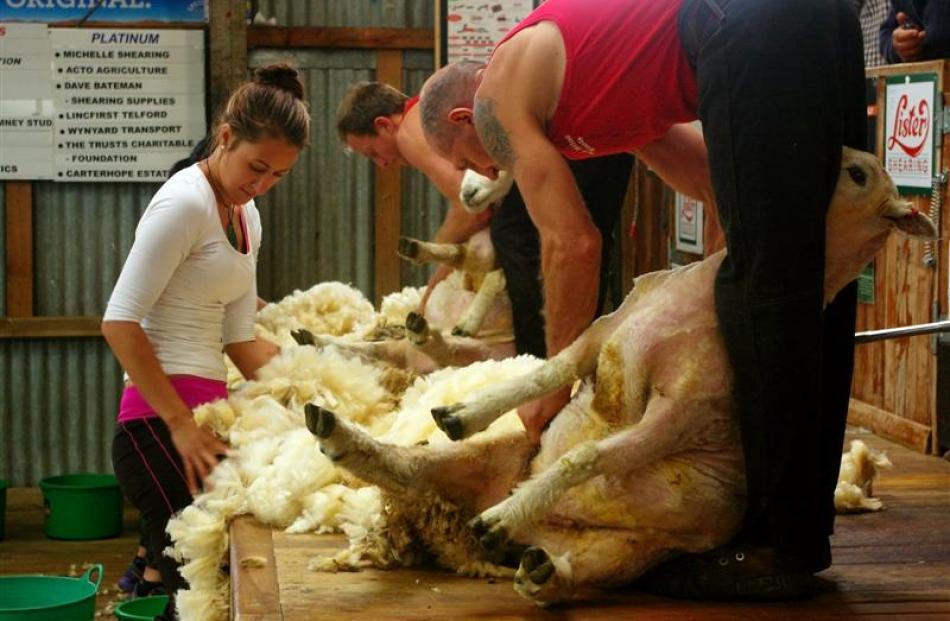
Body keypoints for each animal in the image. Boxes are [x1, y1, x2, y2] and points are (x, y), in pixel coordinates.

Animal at [304, 148, 936, 604]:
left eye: (858, 174)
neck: (700, 299)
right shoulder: (604, 334)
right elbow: (547, 373)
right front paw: (463, 411)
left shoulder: (681, 414)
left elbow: (586, 458)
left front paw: (510, 506)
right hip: (501, 456)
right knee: (409, 467)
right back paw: (340, 433)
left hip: (630, 554)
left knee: (567, 571)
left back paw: (524, 548)